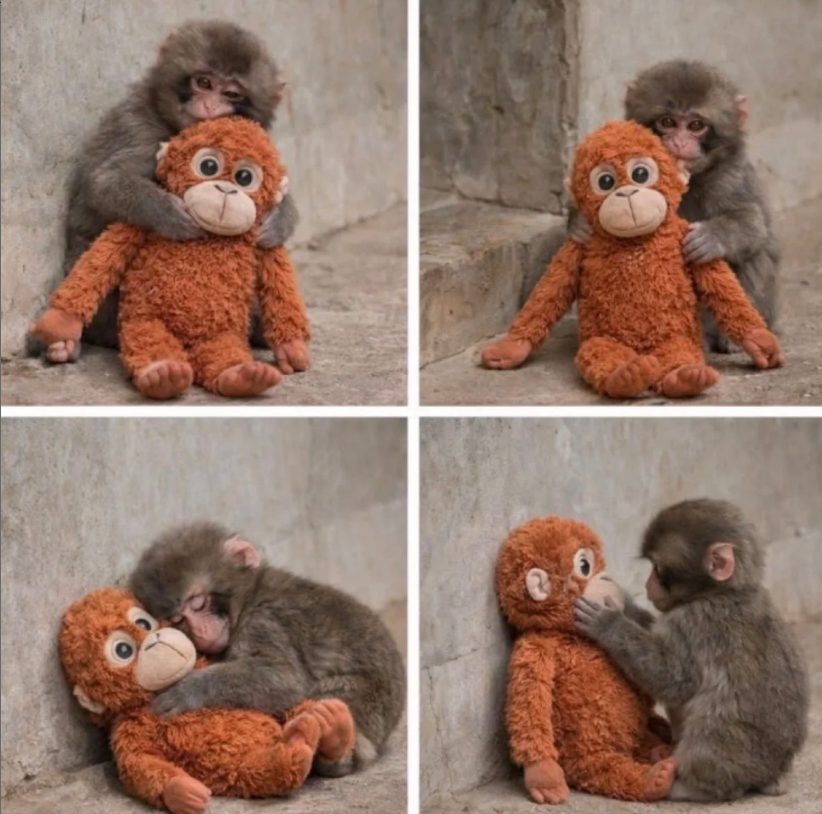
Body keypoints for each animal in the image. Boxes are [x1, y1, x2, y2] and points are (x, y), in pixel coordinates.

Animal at [129, 522, 406, 776]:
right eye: (178, 620)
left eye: (198, 603)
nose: (201, 631)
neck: (247, 600)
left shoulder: (265, 621)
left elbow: (284, 679)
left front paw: (186, 691)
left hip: (372, 706)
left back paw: (337, 742)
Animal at [573, 499, 809, 801]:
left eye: (658, 569)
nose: (647, 585)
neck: (722, 592)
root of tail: (774, 771)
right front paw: (623, 604)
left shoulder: (693, 622)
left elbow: (674, 679)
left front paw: (608, 623)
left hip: (739, 755)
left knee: (711, 724)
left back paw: (689, 786)